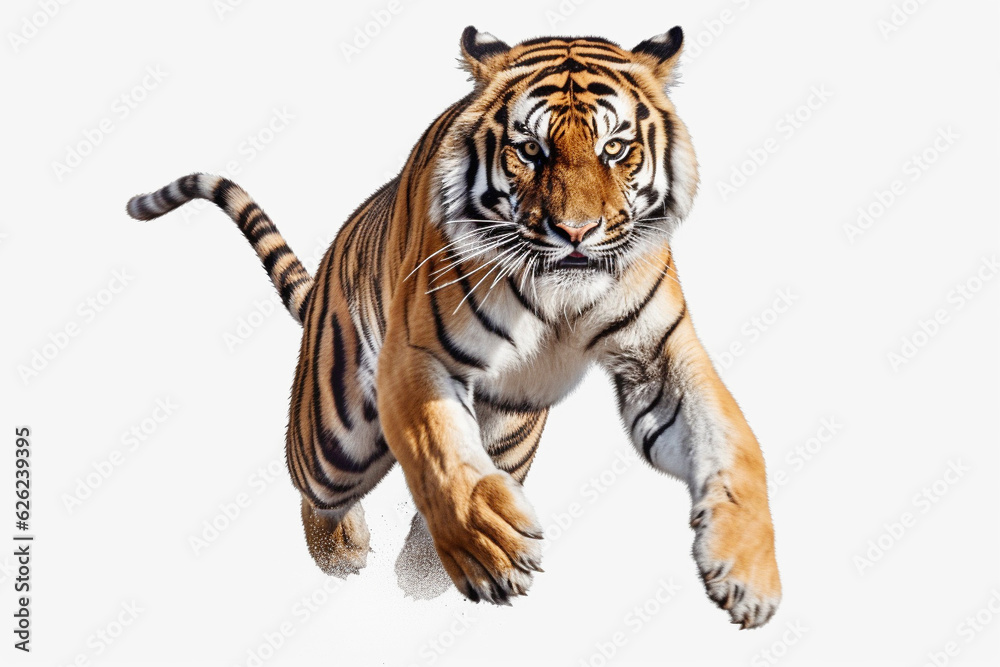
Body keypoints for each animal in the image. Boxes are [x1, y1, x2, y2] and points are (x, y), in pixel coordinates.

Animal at [126, 25, 781, 628]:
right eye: (531, 151)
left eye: (616, 148)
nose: (576, 232)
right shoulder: (417, 354)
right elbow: (437, 448)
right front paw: (491, 554)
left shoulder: (660, 356)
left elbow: (737, 445)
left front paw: (750, 576)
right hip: (334, 436)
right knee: (314, 486)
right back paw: (343, 552)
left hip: (510, 437)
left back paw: (420, 574)